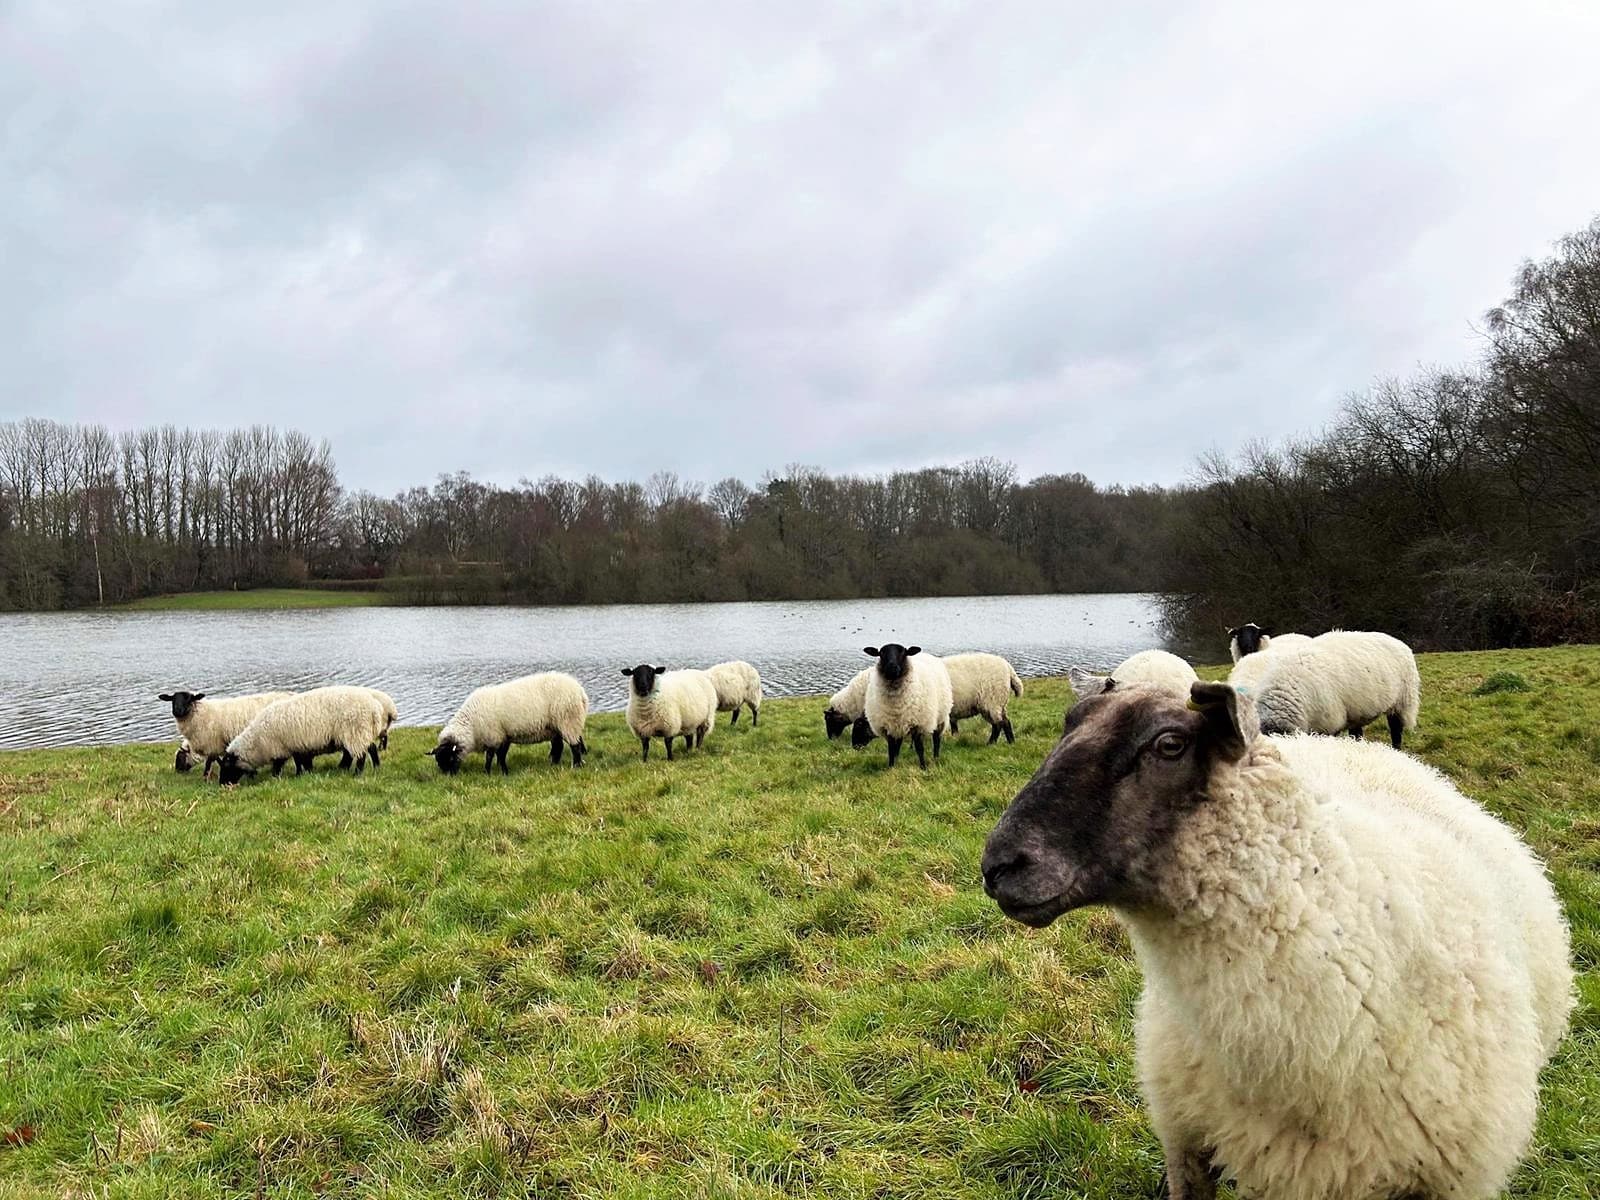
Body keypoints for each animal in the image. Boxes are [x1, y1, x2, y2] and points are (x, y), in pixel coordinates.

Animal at [157, 691, 296, 784]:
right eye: (172, 700)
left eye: (189, 699)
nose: (177, 711)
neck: (200, 714)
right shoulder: (221, 745)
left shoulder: (213, 743)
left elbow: (210, 761)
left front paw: (205, 777)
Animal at [217, 684, 388, 790]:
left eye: (226, 767)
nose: (222, 784)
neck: (257, 742)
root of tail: (375, 708)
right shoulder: (297, 746)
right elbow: (300, 762)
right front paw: (302, 774)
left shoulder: (281, 748)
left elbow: (281, 766)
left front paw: (276, 778)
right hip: (359, 733)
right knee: (369, 749)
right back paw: (374, 766)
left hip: (355, 731)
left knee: (360, 755)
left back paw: (357, 773)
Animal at [428, 672, 592, 774]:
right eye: (438, 760)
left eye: (449, 757)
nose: (448, 776)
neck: (471, 725)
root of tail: (580, 692)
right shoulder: (504, 735)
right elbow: (501, 755)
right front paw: (502, 770)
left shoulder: (494, 736)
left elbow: (491, 756)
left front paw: (489, 772)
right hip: (556, 727)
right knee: (559, 747)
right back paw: (554, 765)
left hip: (568, 721)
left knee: (575, 746)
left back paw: (576, 766)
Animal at [1248, 633, 1427, 748]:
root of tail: (1397, 640)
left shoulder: (1328, 725)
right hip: (1356, 711)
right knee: (1357, 733)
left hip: (1401, 702)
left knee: (1396, 732)